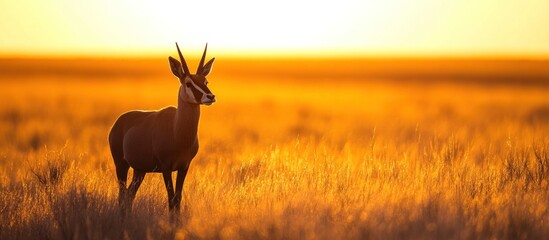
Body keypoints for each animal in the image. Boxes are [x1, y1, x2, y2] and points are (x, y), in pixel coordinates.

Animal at [108, 43, 215, 214]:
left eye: (205, 81)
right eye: (188, 83)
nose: (210, 97)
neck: (177, 130)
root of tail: (118, 122)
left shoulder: (184, 166)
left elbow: (178, 199)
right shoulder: (166, 167)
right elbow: (171, 200)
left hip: (140, 170)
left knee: (130, 194)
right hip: (121, 164)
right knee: (122, 195)